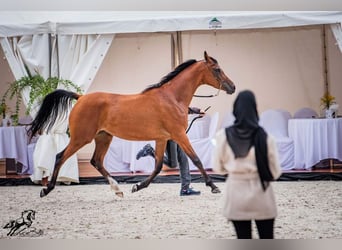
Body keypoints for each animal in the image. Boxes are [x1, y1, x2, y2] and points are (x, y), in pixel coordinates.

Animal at [28, 51, 235, 198]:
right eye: (217, 69)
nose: (232, 87)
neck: (172, 98)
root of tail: (80, 98)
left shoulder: (162, 138)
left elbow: (158, 166)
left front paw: (137, 186)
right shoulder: (179, 134)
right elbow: (196, 159)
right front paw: (214, 186)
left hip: (103, 137)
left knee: (96, 161)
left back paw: (118, 190)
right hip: (81, 138)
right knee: (60, 157)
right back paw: (46, 189)